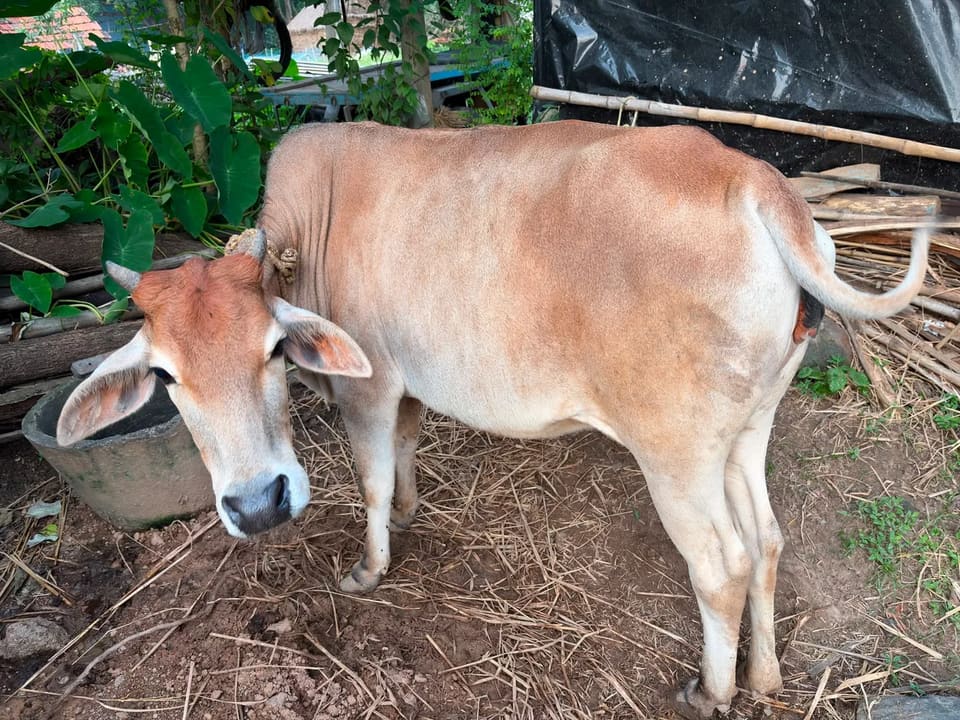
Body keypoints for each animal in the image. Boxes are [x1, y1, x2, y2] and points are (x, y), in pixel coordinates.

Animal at [56, 121, 930, 717]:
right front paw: (409, 514)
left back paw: (712, 690)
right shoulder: (405, 388)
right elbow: (404, 456)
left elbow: (370, 481)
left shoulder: (368, 389)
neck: (311, 232)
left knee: (723, 565)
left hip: (674, 452)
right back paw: (764, 677)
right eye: (165, 375)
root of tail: (751, 178)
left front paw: (370, 567)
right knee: (769, 541)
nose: (257, 503)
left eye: (273, 349)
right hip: (746, 429)